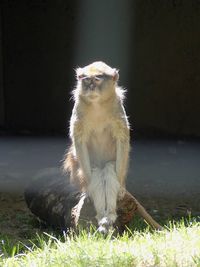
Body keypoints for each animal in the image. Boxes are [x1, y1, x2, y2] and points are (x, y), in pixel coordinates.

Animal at [63, 60, 130, 232]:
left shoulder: (117, 107)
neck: (97, 105)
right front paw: (88, 190)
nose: (91, 86)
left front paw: (121, 188)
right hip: (79, 172)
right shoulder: (78, 109)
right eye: (86, 79)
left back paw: (109, 215)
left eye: (97, 79)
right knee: (95, 172)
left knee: (109, 169)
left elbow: (122, 140)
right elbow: (79, 142)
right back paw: (102, 215)